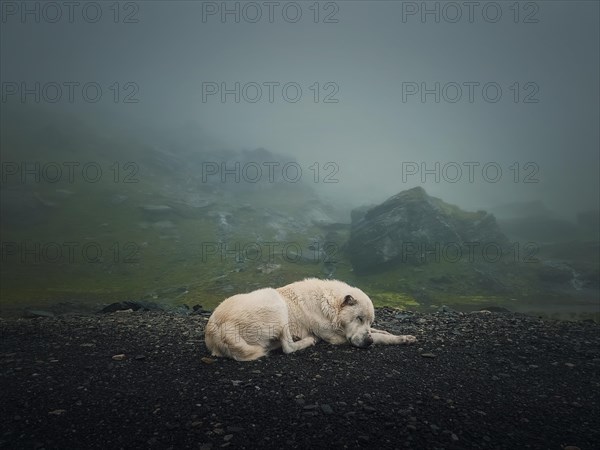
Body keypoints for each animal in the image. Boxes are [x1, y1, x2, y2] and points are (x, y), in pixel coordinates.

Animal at [204, 280, 414, 360]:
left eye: (369, 321)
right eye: (359, 318)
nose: (368, 342)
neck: (329, 306)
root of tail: (218, 329)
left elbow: (380, 332)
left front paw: (404, 336)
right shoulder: (338, 338)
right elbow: (380, 337)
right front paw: (397, 339)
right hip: (274, 300)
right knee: (288, 347)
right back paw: (308, 341)